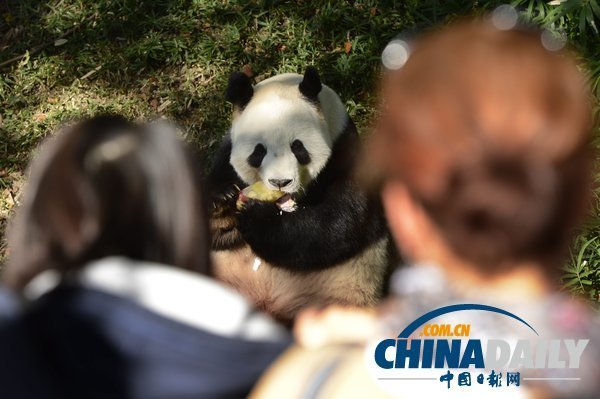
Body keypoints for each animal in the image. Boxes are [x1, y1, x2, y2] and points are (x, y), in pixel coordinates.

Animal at [210, 67, 394, 324]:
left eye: (297, 147)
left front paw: (259, 218)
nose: (280, 183)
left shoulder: (345, 150)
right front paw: (222, 201)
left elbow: (338, 224)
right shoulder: (226, 155)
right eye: (259, 151)